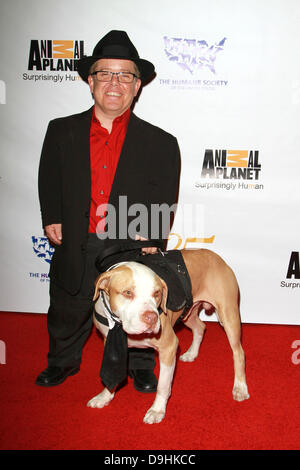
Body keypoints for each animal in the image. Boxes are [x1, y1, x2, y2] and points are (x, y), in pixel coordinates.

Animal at [87, 248, 251, 424]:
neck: (119, 324)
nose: (152, 318)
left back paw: (240, 387)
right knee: (200, 327)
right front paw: (105, 396)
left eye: (157, 293)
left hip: (228, 316)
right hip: (188, 313)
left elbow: (163, 385)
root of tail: (215, 256)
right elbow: (111, 369)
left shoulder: (169, 347)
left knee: (238, 352)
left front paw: (157, 410)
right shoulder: (109, 343)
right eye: (128, 292)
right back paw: (192, 353)